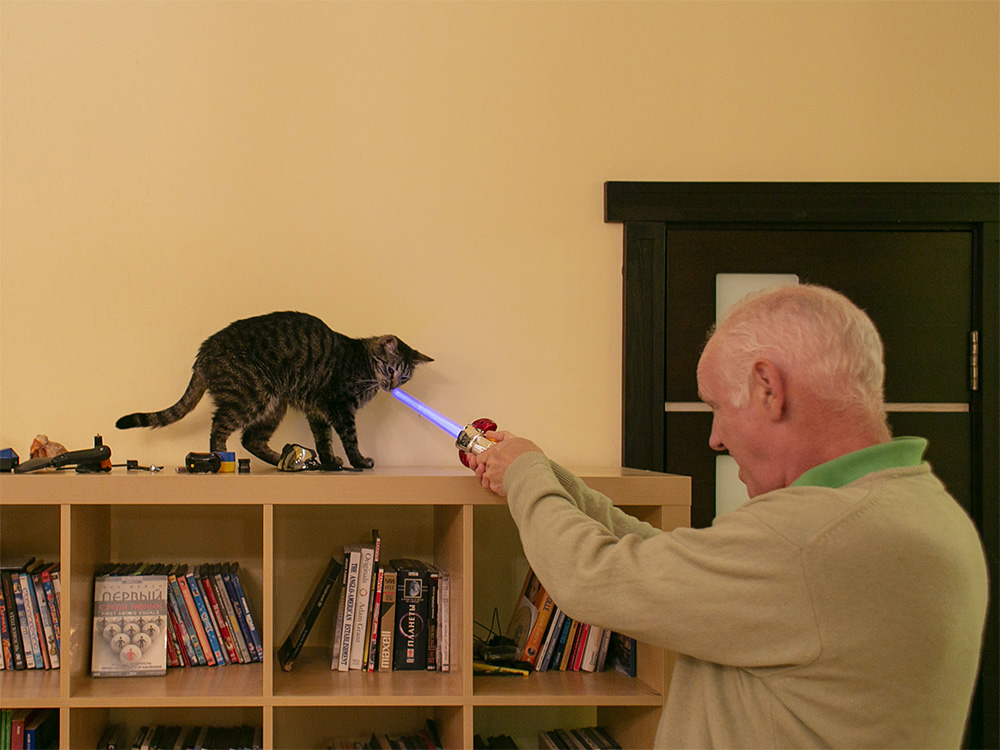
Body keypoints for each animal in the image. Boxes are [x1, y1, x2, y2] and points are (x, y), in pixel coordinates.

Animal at [115, 311, 432, 469]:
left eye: (404, 378)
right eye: (390, 370)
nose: (392, 386)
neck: (364, 366)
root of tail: (202, 354)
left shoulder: (318, 411)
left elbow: (323, 441)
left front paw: (329, 462)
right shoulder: (339, 408)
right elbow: (350, 439)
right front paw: (359, 461)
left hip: (274, 405)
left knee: (250, 440)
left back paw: (281, 459)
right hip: (253, 396)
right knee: (220, 426)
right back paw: (220, 457)